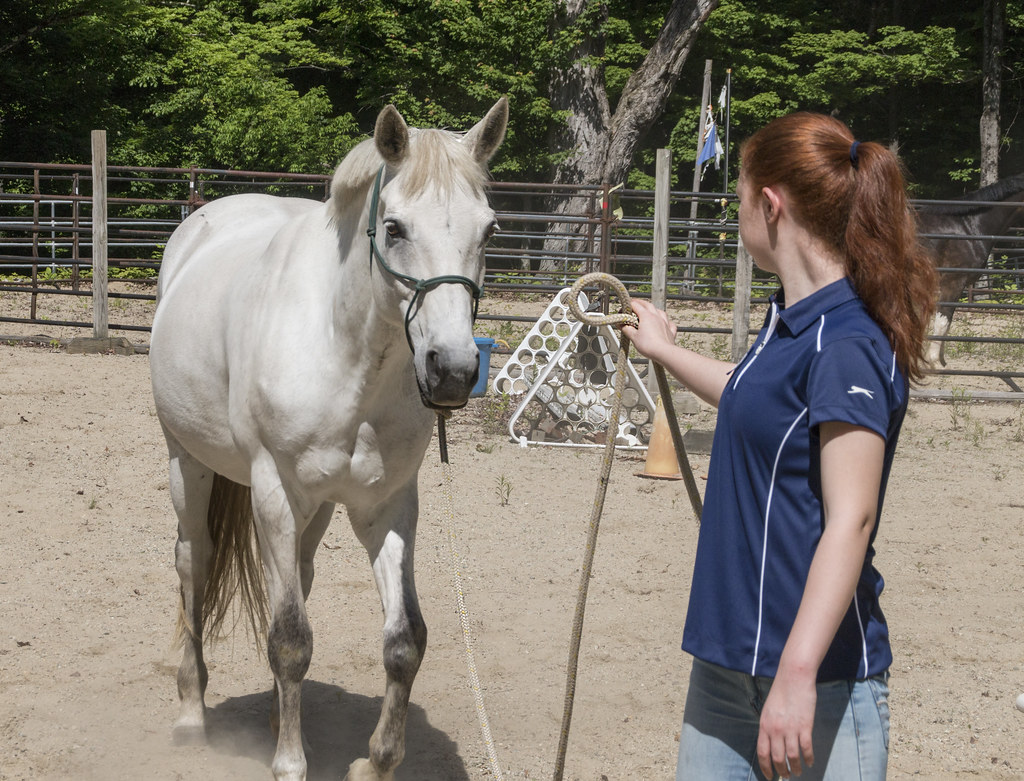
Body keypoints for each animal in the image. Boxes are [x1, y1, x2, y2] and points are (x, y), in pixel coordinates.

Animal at [149, 97, 508, 781]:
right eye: (394, 228)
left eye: (491, 231)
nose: (452, 370)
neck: (344, 355)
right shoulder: (274, 493)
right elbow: (290, 639)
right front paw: (289, 764)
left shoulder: (386, 506)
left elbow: (404, 641)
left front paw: (375, 762)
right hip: (190, 466)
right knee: (193, 562)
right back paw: (189, 713)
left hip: (313, 508)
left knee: (298, 576)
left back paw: (274, 720)